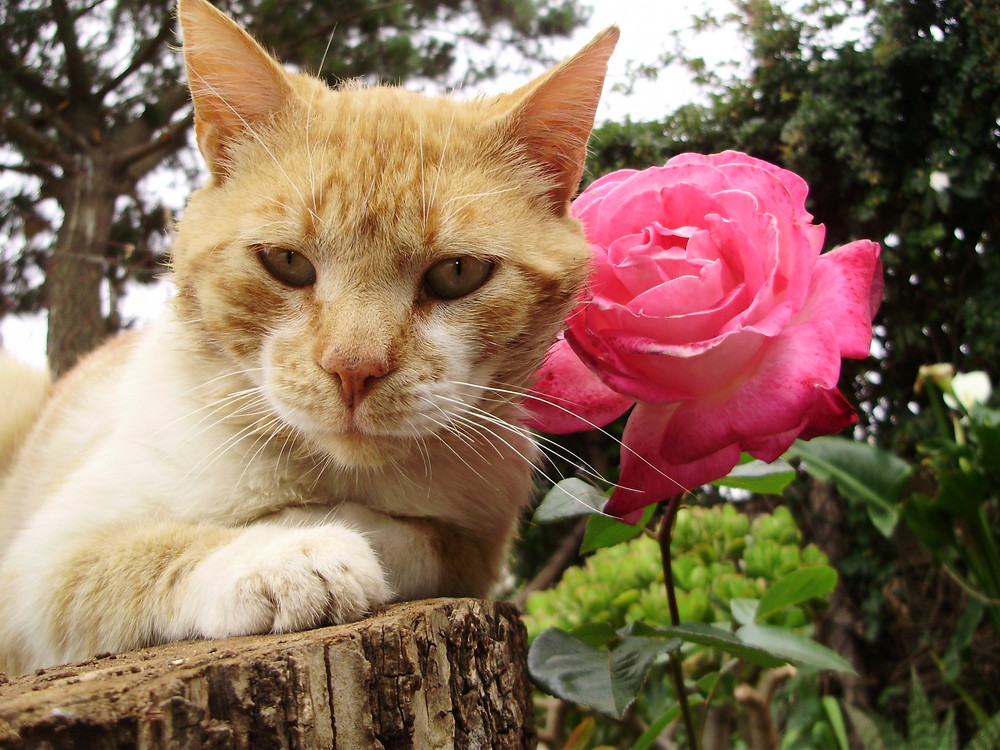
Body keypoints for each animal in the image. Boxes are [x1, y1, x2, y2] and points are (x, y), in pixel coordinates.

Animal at [0, 0, 616, 676]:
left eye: (458, 273)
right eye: (287, 262)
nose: (354, 369)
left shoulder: (477, 541)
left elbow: (415, 536)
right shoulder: (35, 568)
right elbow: (142, 557)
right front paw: (287, 556)